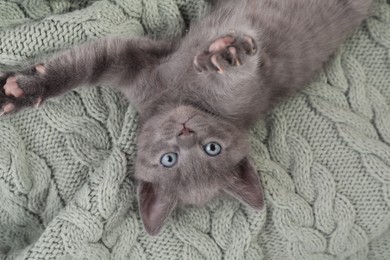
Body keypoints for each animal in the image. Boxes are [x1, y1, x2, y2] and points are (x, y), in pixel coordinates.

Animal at [0, 0, 372, 235]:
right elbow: (81, 66)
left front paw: (228, 55)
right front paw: (21, 91)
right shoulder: (136, 63)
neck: (177, 98)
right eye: (169, 159)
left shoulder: (247, 91)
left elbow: (243, 72)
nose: (184, 131)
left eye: (211, 149)